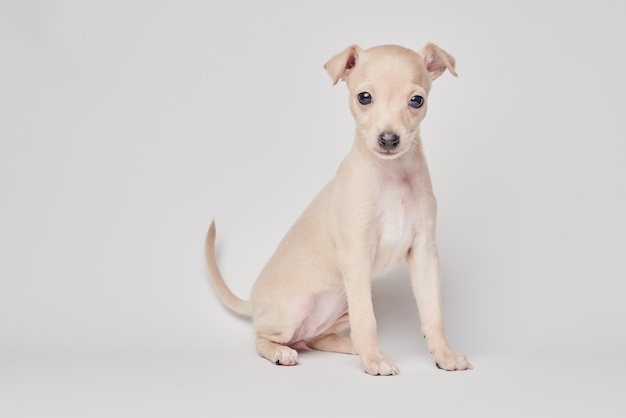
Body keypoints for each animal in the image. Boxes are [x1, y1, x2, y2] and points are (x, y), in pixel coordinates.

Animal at [205, 43, 468, 376]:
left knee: (317, 337)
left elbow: (433, 314)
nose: (389, 139)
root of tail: (253, 302)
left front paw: (444, 355)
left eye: (416, 100)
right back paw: (282, 352)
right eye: (364, 97)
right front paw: (374, 361)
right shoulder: (357, 256)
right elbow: (367, 320)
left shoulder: (424, 255)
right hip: (296, 307)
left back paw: (349, 345)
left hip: (342, 305)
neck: (393, 175)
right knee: (263, 338)